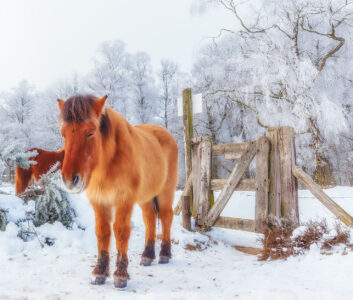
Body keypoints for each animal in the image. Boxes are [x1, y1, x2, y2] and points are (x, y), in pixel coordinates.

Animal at [58, 94, 179, 288]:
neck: (108, 163)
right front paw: (99, 273)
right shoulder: (99, 201)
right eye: (64, 133)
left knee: (166, 216)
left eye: (90, 132)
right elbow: (103, 232)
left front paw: (120, 275)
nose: (70, 180)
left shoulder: (124, 200)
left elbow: (121, 231)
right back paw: (147, 256)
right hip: (145, 197)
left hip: (165, 192)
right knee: (150, 218)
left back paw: (164, 255)